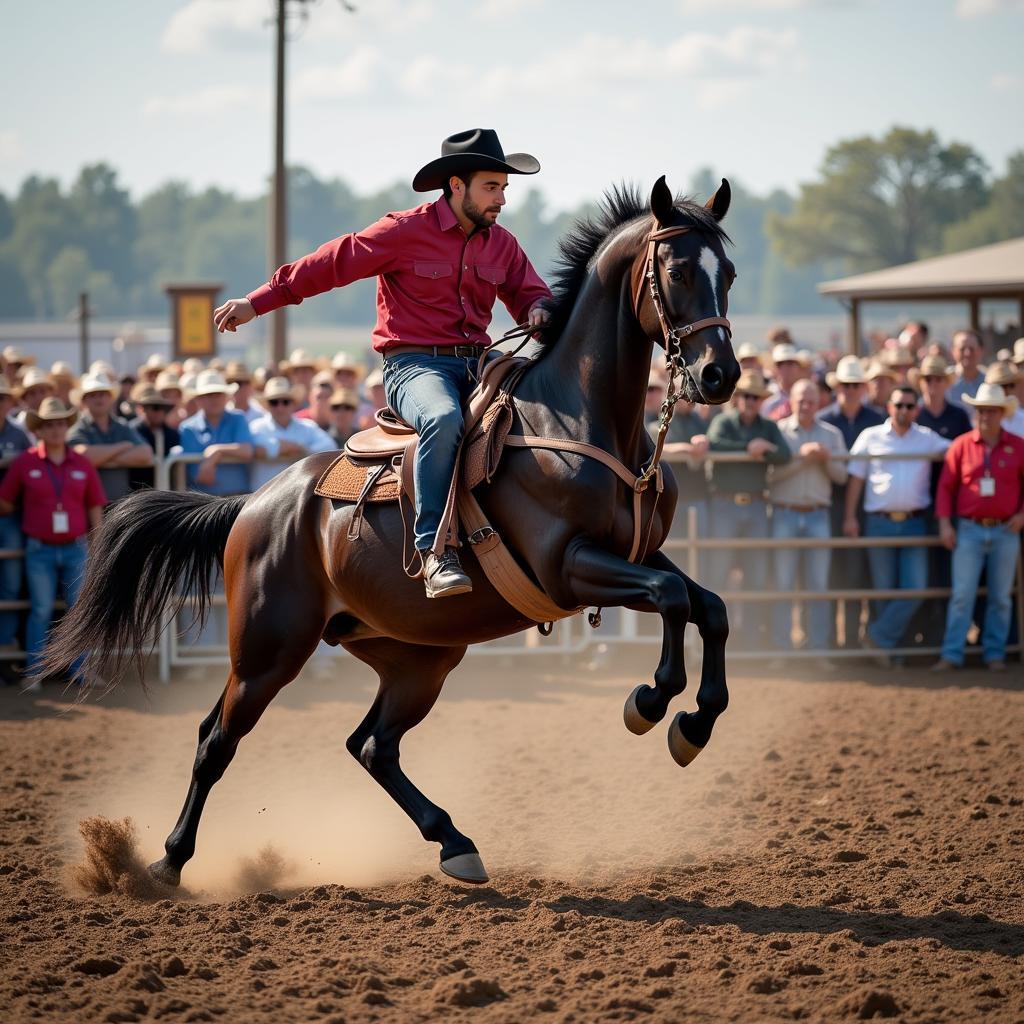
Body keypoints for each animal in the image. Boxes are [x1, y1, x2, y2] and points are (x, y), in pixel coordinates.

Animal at [44, 176, 741, 888]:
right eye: (679, 271)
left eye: (730, 274)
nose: (721, 376)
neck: (575, 421)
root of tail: (254, 505)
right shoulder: (567, 566)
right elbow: (671, 598)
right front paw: (651, 702)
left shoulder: (641, 552)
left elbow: (707, 606)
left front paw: (694, 723)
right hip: (268, 650)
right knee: (218, 740)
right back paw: (166, 862)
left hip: (415, 657)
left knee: (372, 746)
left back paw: (454, 841)